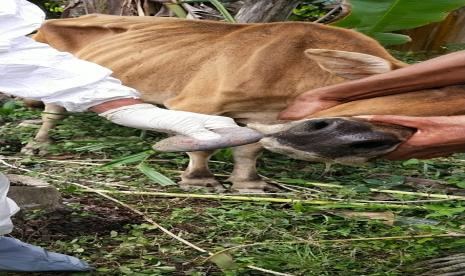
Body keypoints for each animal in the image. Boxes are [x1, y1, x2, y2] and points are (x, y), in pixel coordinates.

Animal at [25, 14, 464, 192]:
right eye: (427, 89)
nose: (357, 142)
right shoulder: (197, 101)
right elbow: (204, 144)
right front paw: (199, 180)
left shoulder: (261, 116)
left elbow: (250, 149)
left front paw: (248, 183)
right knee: (53, 110)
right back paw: (38, 144)